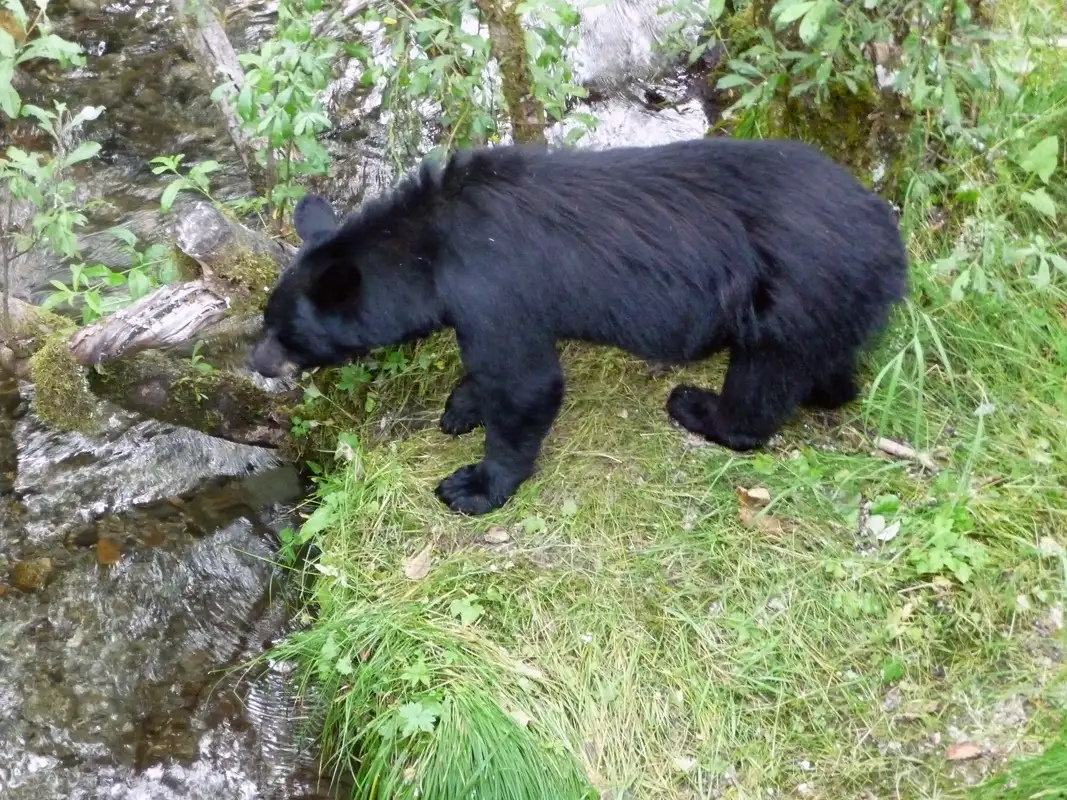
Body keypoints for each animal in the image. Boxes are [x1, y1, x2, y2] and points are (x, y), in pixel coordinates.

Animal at [247, 137, 909, 514]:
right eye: (266, 319)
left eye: (288, 335)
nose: (254, 361)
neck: (427, 249)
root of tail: (889, 234)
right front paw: (462, 406)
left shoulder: (492, 283)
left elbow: (524, 382)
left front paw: (473, 486)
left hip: (793, 294)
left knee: (763, 380)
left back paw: (699, 408)